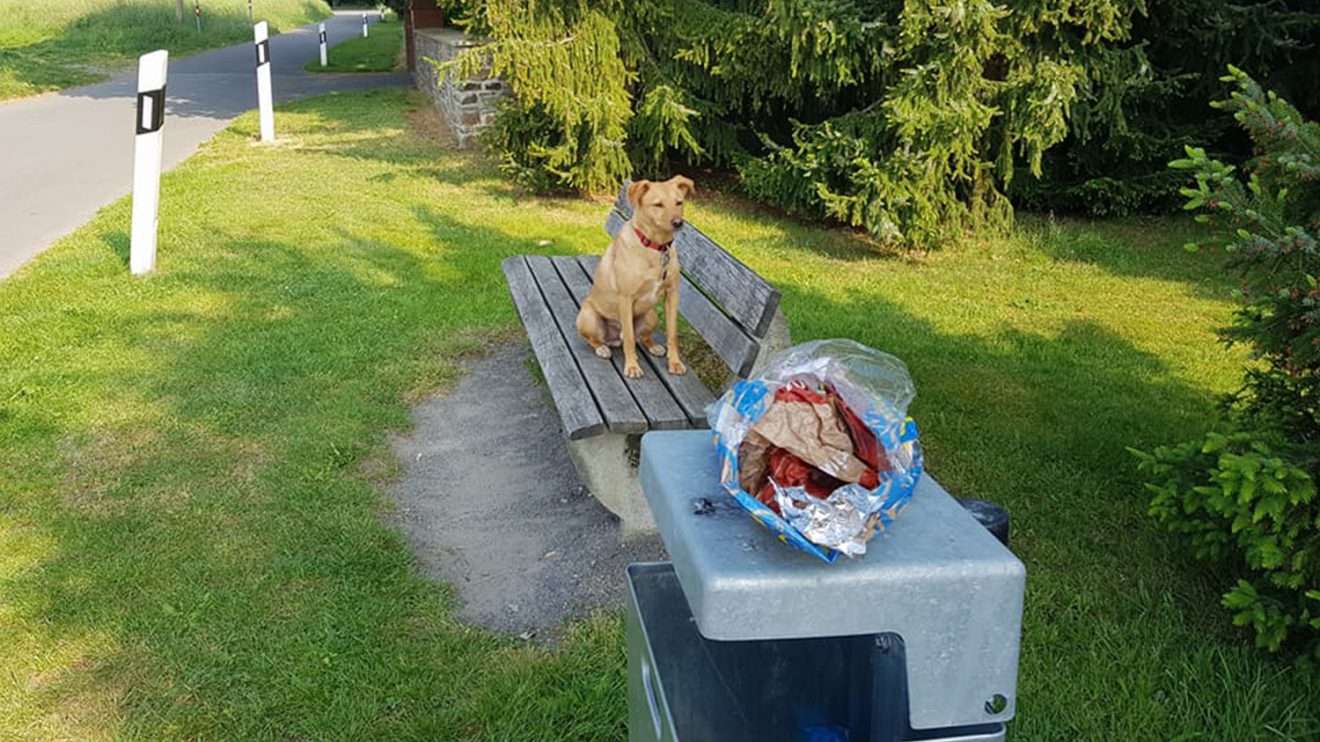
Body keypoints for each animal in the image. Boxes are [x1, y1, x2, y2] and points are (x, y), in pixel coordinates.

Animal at [580, 174, 702, 374]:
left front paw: (674, 362)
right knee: (596, 339)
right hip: (589, 317)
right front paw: (632, 366)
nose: (678, 222)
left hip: (651, 316)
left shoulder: (672, 294)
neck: (656, 247)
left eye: (679, 202)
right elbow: (629, 339)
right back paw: (602, 348)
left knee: (642, 338)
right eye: (658, 204)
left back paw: (654, 346)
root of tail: (615, 337)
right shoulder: (625, 297)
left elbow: (672, 334)